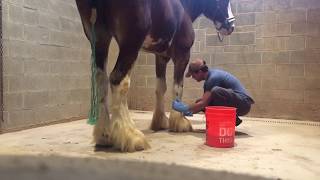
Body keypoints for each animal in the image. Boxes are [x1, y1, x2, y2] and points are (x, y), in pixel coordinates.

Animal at [75, 0, 235, 152]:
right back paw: (132, 137)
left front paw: (160, 122)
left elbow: (161, 87)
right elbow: (177, 87)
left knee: (101, 82)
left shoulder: (161, 57)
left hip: (100, 40)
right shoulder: (182, 55)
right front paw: (179, 122)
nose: (231, 26)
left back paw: (104, 135)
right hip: (130, 43)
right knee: (118, 80)